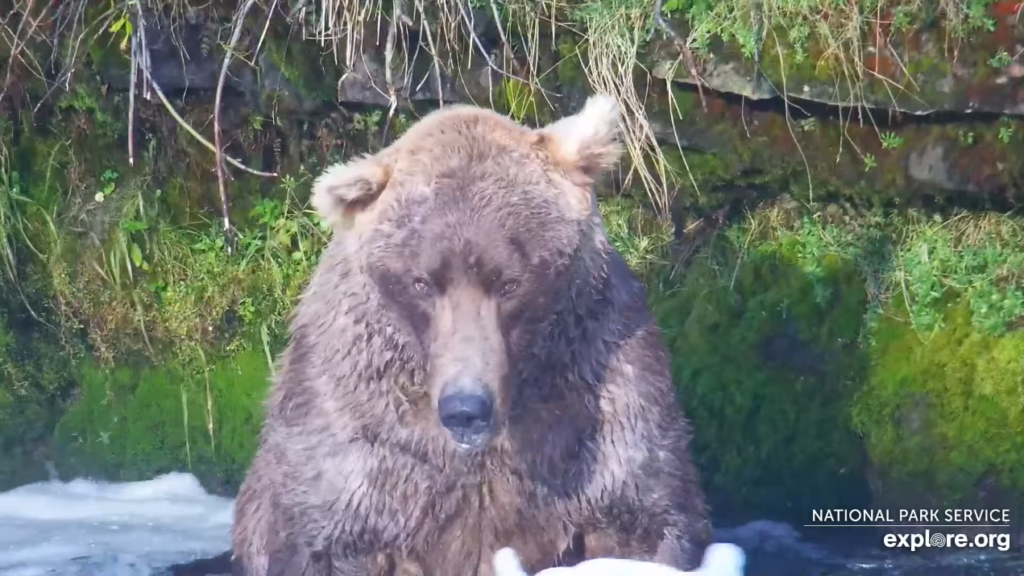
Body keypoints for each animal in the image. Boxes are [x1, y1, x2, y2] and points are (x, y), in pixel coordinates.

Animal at [232, 94, 712, 573]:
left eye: (509, 283)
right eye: (422, 282)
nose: (466, 408)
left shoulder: (597, 391)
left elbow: (640, 514)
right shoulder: (359, 428)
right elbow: (324, 530)